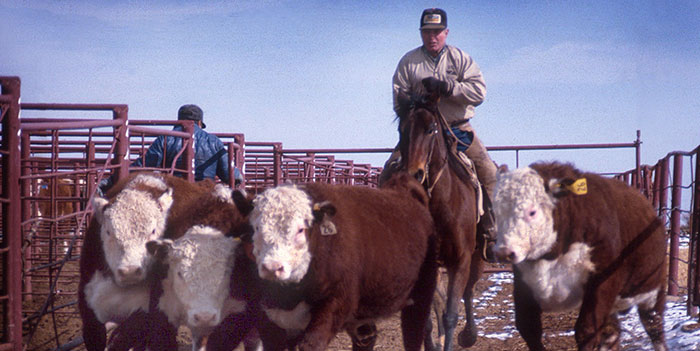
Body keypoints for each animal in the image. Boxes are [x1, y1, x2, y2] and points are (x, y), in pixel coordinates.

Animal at [243, 174, 438, 351]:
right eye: (257, 227)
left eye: (300, 229)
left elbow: (311, 344)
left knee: (414, 335)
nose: (272, 268)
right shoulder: (272, 318)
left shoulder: (336, 302)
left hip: (421, 297)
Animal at [396, 93, 484, 351]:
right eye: (401, 130)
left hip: (476, 256)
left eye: (431, 129)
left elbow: (451, 314)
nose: (414, 174)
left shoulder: (461, 259)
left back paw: (469, 335)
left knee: (469, 290)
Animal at [492, 163, 668, 351]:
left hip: (653, 293)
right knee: (612, 334)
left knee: (655, 327)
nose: (503, 252)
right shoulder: (523, 285)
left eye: (532, 212)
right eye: (496, 211)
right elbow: (528, 328)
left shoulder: (603, 281)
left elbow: (586, 330)